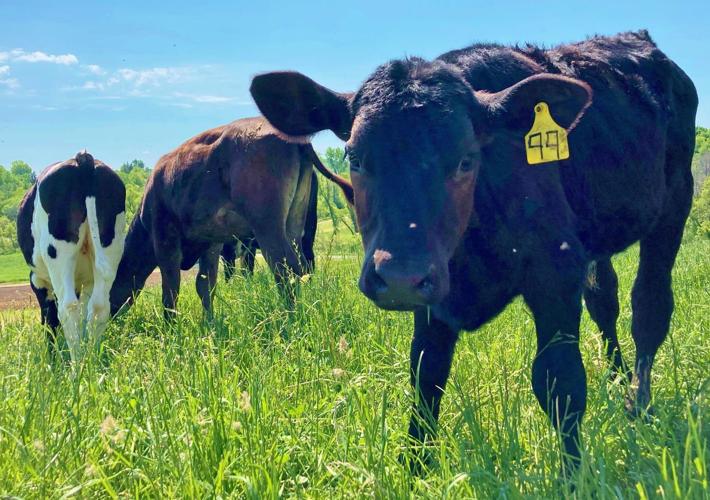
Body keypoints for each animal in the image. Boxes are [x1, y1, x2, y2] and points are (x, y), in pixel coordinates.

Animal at [17, 151, 127, 362]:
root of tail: (83, 159)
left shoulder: (38, 281)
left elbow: (49, 320)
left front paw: (52, 358)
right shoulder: (87, 281)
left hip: (59, 255)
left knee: (68, 308)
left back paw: (77, 365)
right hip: (110, 249)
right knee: (99, 306)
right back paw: (91, 360)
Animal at [109, 116, 352, 319]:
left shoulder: (165, 239)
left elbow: (171, 289)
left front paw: (171, 328)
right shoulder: (211, 243)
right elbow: (205, 285)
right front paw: (209, 323)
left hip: (268, 227)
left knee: (285, 268)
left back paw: (291, 319)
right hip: (294, 224)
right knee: (302, 264)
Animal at [249, 30, 697, 472]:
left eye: (466, 160)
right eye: (355, 157)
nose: (399, 277)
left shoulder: (555, 273)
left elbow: (561, 381)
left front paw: (574, 475)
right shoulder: (434, 293)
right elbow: (426, 374)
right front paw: (415, 469)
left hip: (676, 200)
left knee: (650, 307)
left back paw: (639, 404)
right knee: (605, 299)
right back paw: (618, 381)